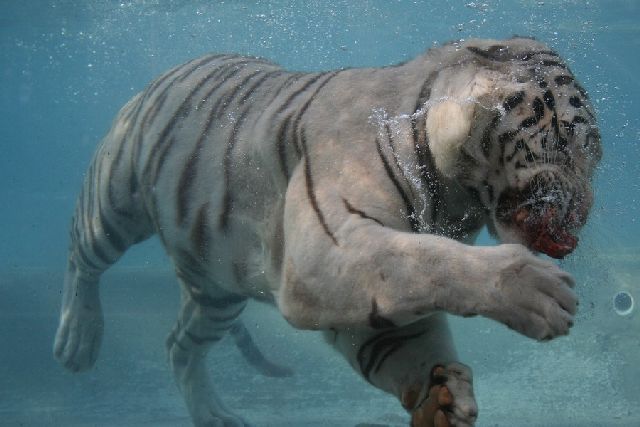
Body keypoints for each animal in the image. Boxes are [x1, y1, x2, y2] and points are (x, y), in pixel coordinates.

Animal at [53, 37, 600, 427]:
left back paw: (214, 416)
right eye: (570, 142)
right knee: (82, 257)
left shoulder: (358, 300)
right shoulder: (324, 249)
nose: (581, 218)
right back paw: (77, 339)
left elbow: (406, 339)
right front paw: (537, 291)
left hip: (218, 288)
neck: (453, 196)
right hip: (114, 200)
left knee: (178, 345)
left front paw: (441, 394)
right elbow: (429, 261)